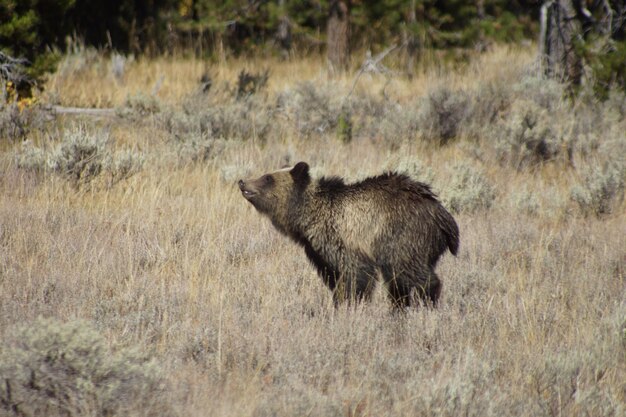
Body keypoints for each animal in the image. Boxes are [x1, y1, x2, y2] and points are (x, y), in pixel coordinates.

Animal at [236, 162, 456, 306]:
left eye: (267, 177)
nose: (242, 182)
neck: (309, 217)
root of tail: (442, 214)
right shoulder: (319, 252)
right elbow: (334, 276)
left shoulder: (345, 239)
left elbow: (355, 276)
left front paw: (348, 303)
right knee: (398, 283)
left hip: (403, 238)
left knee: (412, 273)